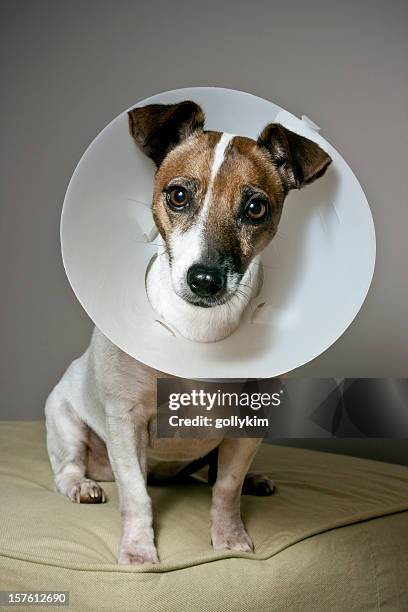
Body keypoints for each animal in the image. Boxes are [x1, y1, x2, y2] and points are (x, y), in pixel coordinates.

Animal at [45, 101, 332, 564]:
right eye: (178, 196)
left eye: (256, 208)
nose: (205, 279)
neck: (199, 333)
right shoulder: (126, 421)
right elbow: (136, 495)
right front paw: (139, 550)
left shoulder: (249, 425)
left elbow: (227, 488)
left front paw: (229, 537)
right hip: (65, 421)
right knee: (69, 468)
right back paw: (82, 486)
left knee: (214, 476)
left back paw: (254, 481)